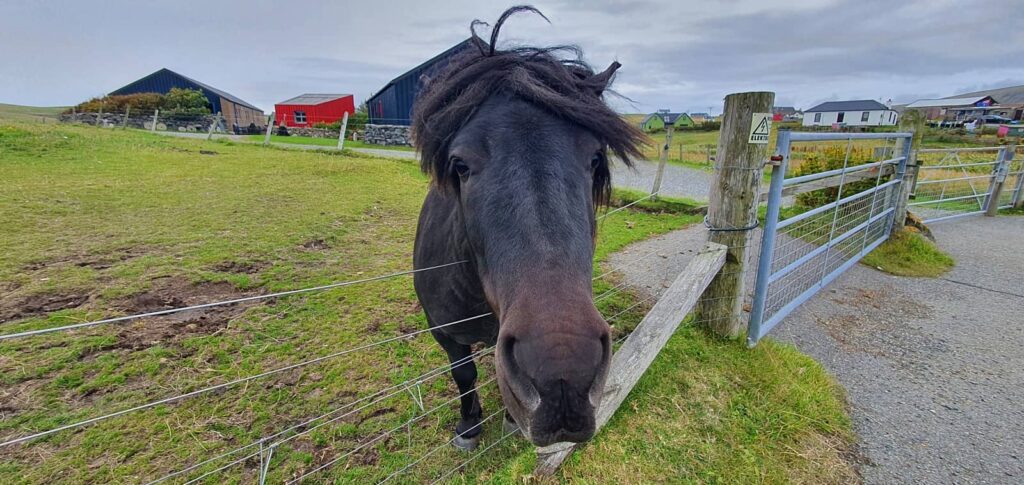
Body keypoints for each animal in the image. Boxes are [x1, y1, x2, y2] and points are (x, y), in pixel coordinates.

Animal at [411, 5, 644, 450]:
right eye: (459, 165)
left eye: (594, 159)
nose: (563, 378)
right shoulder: (444, 332)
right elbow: (463, 373)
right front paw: (468, 427)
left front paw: (506, 419)